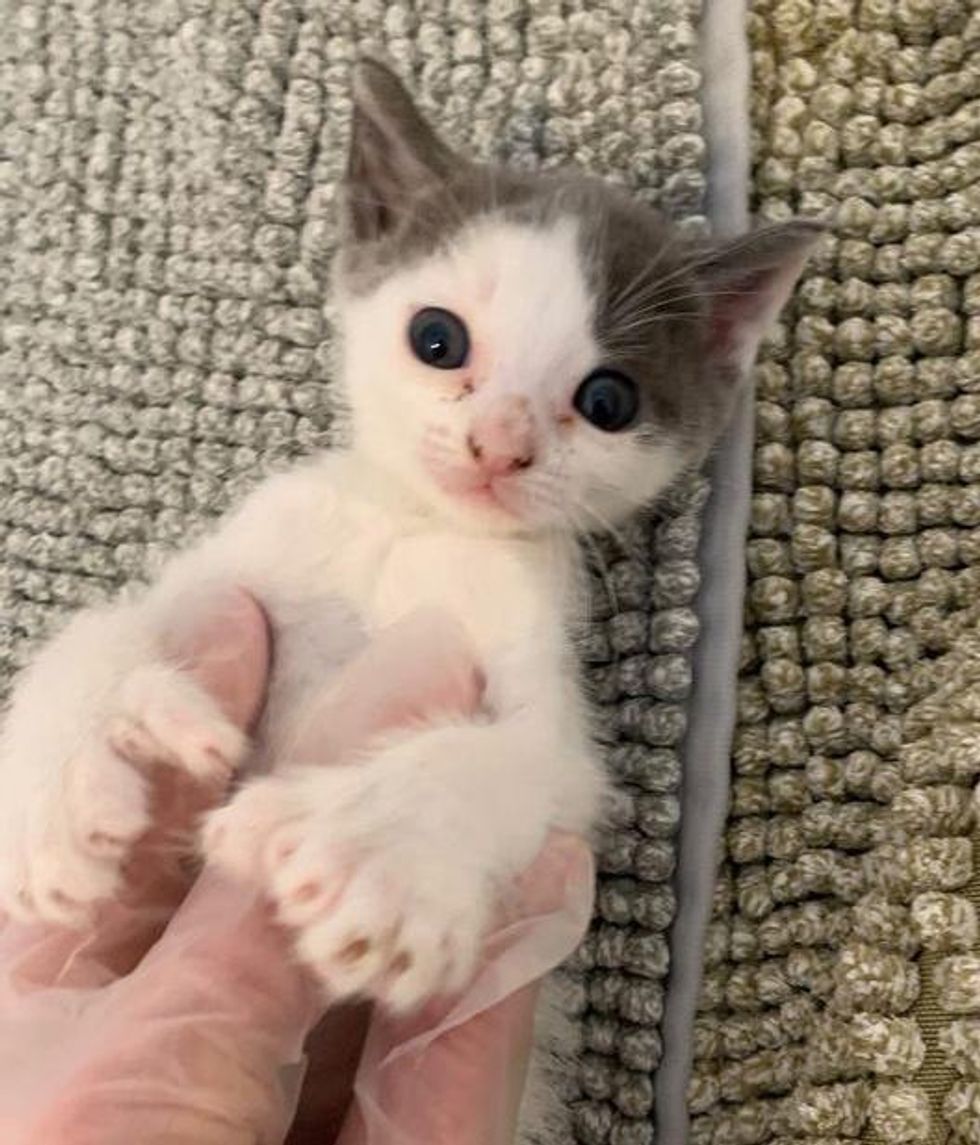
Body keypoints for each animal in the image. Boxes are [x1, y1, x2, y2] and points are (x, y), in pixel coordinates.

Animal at [0, 53, 815, 1117]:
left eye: (608, 400)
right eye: (438, 338)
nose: (499, 445)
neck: (413, 524)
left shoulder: (535, 673)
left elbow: (531, 763)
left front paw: (373, 851)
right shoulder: (247, 560)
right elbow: (98, 629)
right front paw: (56, 784)